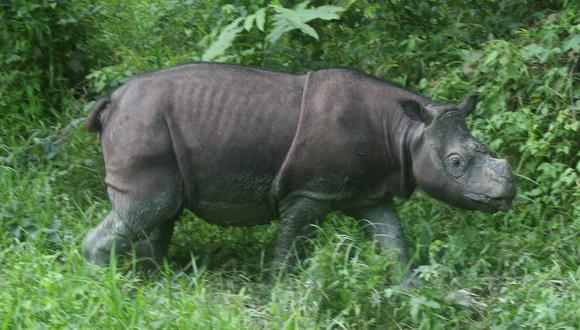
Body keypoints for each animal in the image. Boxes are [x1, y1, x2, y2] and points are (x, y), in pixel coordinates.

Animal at [82, 62, 516, 284]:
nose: (508, 193)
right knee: (146, 209)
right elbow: (292, 243)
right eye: (456, 163)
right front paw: (281, 290)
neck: (406, 132)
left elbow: (393, 241)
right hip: (142, 122)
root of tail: (112, 99)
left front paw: (410, 287)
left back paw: (154, 278)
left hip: (150, 126)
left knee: (161, 213)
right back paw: (107, 284)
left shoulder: (370, 193)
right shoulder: (309, 191)